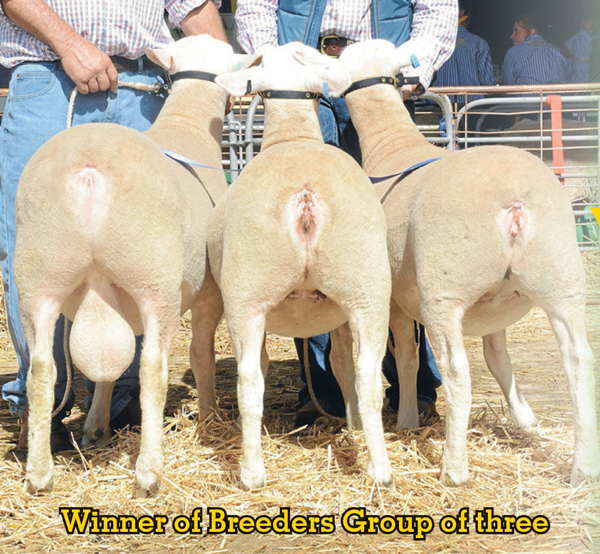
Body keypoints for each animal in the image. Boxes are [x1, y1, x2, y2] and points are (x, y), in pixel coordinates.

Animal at [211, 43, 394, 490]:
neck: (293, 136)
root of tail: (306, 196)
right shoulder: (341, 316)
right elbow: (344, 367)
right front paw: (353, 424)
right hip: (366, 286)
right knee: (368, 375)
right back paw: (380, 469)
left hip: (246, 293)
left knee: (249, 380)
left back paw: (252, 472)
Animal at [298, 38, 596, 486]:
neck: (392, 146)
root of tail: (513, 200)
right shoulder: (493, 303)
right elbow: (497, 356)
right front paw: (524, 418)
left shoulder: (394, 299)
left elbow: (406, 355)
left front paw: (405, 419)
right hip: (560, 277)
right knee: (578, 360)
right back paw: (583, 468)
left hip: (445, 289)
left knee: (457, 372)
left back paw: (453, 468)